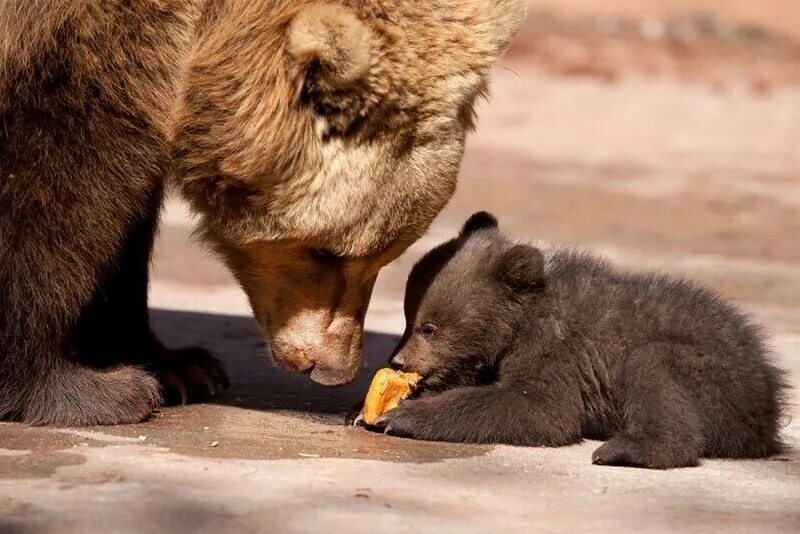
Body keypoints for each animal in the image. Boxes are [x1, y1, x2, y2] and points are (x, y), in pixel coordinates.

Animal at [0, 0, 524, 428]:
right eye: (327, 252)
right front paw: (90, 389)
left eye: (384, 256)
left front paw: (179, 367)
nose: (332, 368)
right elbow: (63, 164)